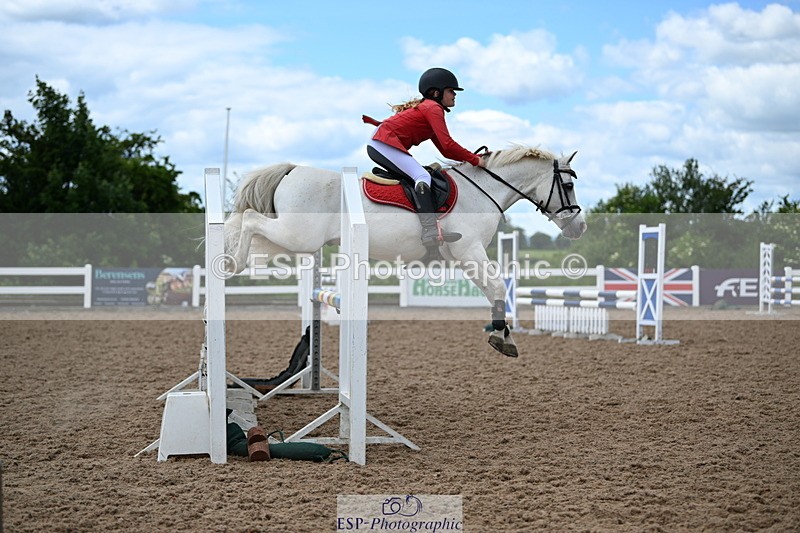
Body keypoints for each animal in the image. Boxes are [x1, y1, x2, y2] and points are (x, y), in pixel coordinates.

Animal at [224, 145, 587, 357]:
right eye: (568, 185)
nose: (579, 228)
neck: (482, 190)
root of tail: (291, 170)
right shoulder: (469, 250)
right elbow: (498, 286)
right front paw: (502, 338)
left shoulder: (464, 257)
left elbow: (493, 291)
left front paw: (503, 333)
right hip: (299, 236)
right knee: (249, 219)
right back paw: (232, 264)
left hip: (291, 239)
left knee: (249, 226)